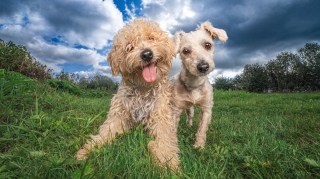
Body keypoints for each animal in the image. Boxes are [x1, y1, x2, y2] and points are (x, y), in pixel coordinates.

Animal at [75, 18, 180, 171]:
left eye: (151, 38)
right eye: (130, 46)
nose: (146, 54)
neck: (143, 88)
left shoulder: (161, 117)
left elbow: (164, 140)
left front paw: (168, 163)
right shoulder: (118, 116)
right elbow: (105, 133)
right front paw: (88, 150)